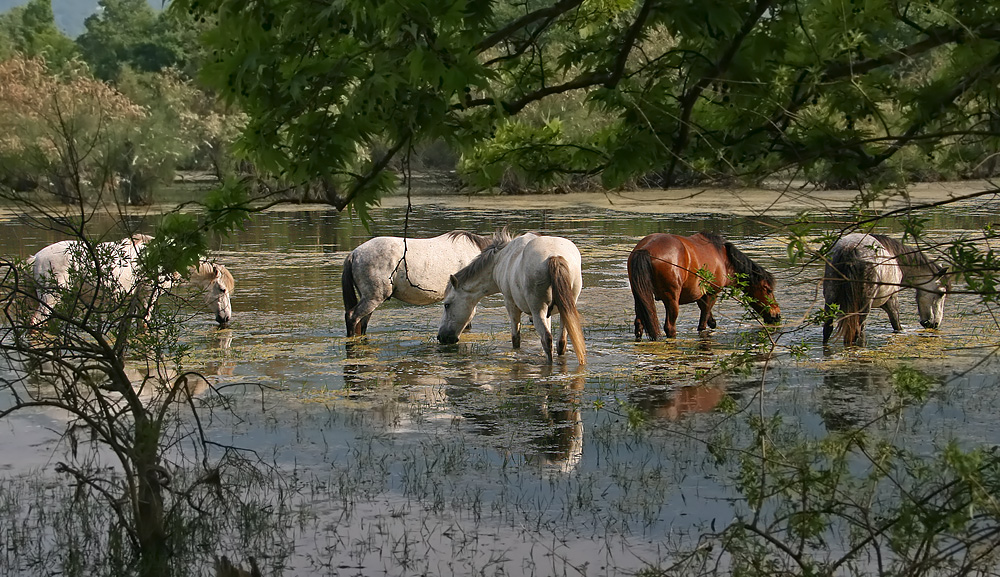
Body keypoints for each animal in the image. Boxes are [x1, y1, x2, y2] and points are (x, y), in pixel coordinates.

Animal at [438, 227, 584, 362]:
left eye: (447, 305)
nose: (441, 337)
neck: (499, 260)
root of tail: (554, 256)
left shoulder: (511, 304)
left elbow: (515, 338)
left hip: (538, 310)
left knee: (547, 339)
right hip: (564, 311)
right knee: (561, 342)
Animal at [624, 231, 780, 340]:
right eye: (768, 290)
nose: (777, 315)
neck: (723, 258)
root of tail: (645, 249)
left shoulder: (701, 295)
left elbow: (709, 318)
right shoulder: (712, 293)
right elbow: (703, 322)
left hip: (640, 297)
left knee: (639, 325)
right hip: (671, 299)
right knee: (670, 327)